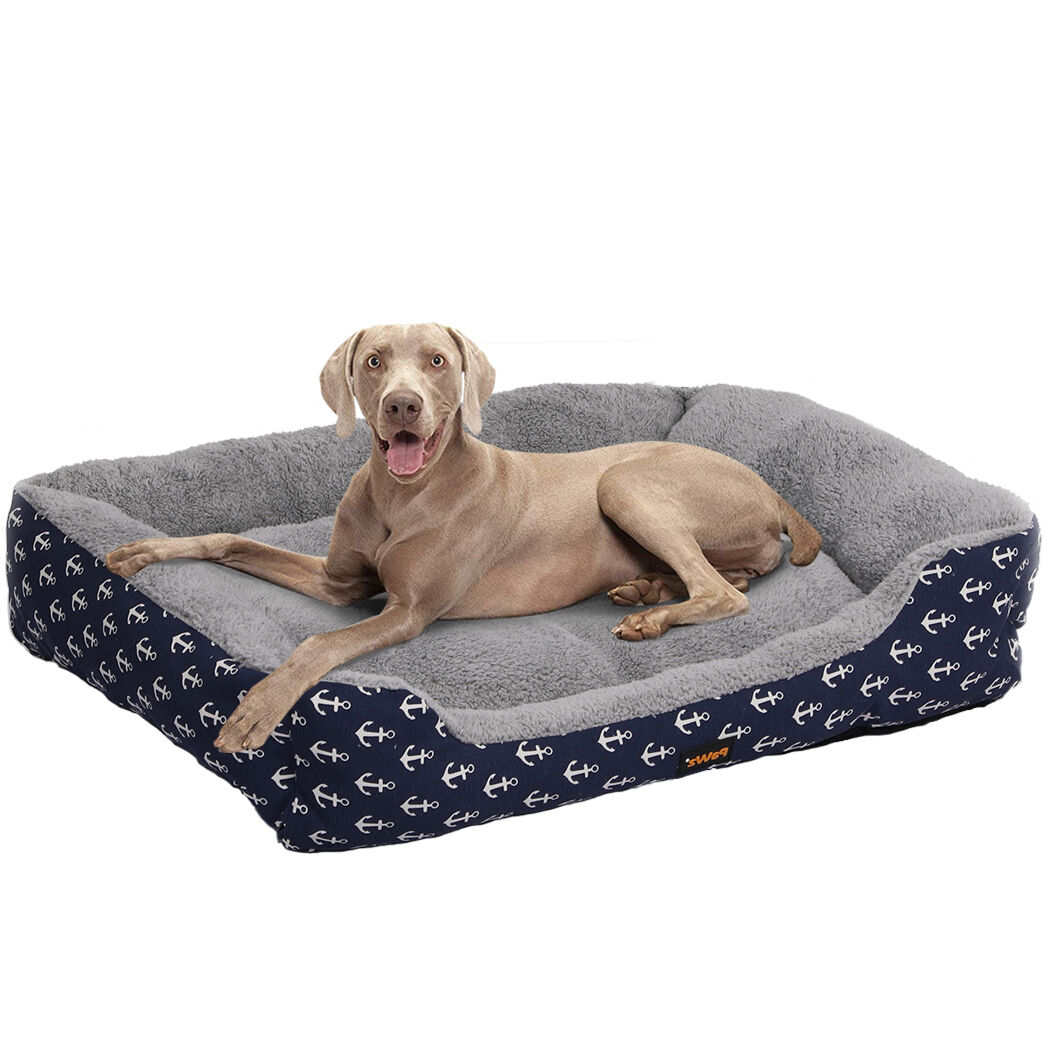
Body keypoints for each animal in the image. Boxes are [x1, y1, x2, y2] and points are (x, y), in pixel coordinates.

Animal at [106, 324, 821, 752]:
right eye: (374, 361)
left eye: (437, 362)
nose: (402, 405)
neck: (404, 495)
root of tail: (771, 489)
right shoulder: (340, 582)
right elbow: (231, 541)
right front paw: (142, 551)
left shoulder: (408, 612)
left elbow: (317, 643)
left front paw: (259, 705)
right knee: (726, 577)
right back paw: (646, 590)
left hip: (624, 481)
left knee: (726, 593)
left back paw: (650, 616)